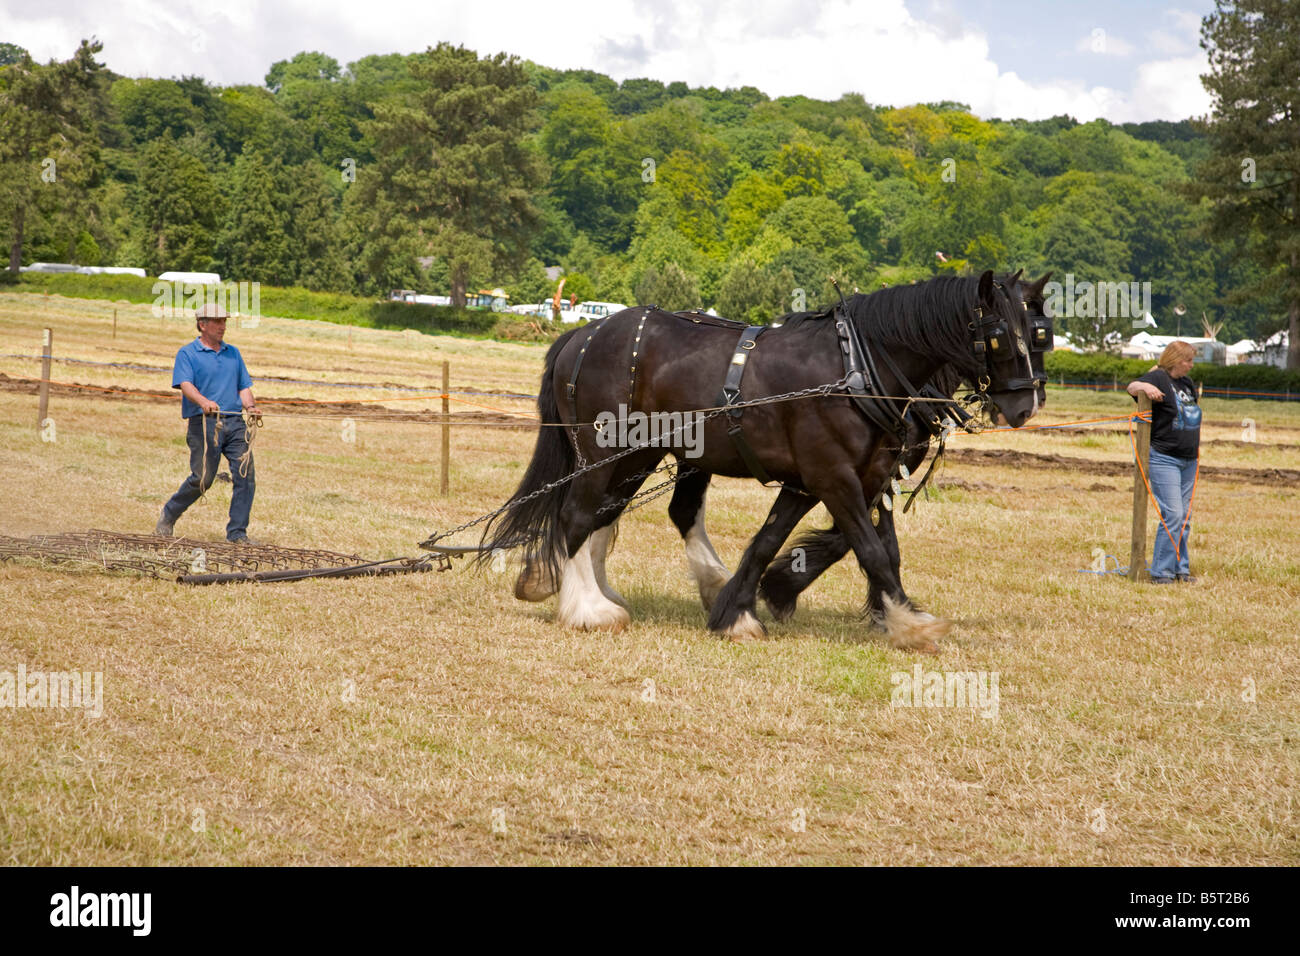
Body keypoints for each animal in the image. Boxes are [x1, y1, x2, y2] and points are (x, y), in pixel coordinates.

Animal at [475, 273, 1034, 655]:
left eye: (1038, 331)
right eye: (1001, 334)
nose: (1026, 404)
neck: (855, 368)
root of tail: (583, 333)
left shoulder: (821, 481)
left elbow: (771, 543)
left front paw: (738, 609)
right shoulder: (834, 478)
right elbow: (872, 551)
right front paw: (911, 623)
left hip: (641, 454)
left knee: (608, 516)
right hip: (602, 451)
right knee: (577, 516)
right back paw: (588, 608)